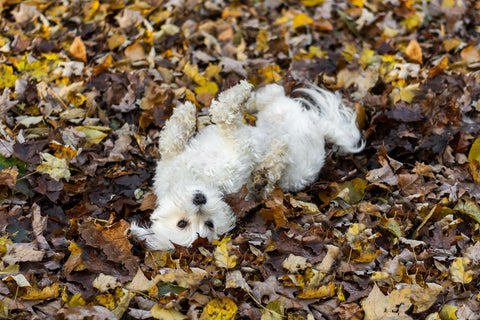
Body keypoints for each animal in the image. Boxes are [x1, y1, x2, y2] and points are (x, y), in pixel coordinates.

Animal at [131, 81, 364, 251]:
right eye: (184, 223)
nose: (199, 199)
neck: (201, 178)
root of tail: (318, 128)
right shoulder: (239, 148)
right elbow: (222, 118)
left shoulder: (179, 156)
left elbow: (174, 137)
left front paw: (186, 113)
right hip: (295, 163)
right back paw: (271, 158)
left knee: (273, 94)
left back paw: (249, 99)